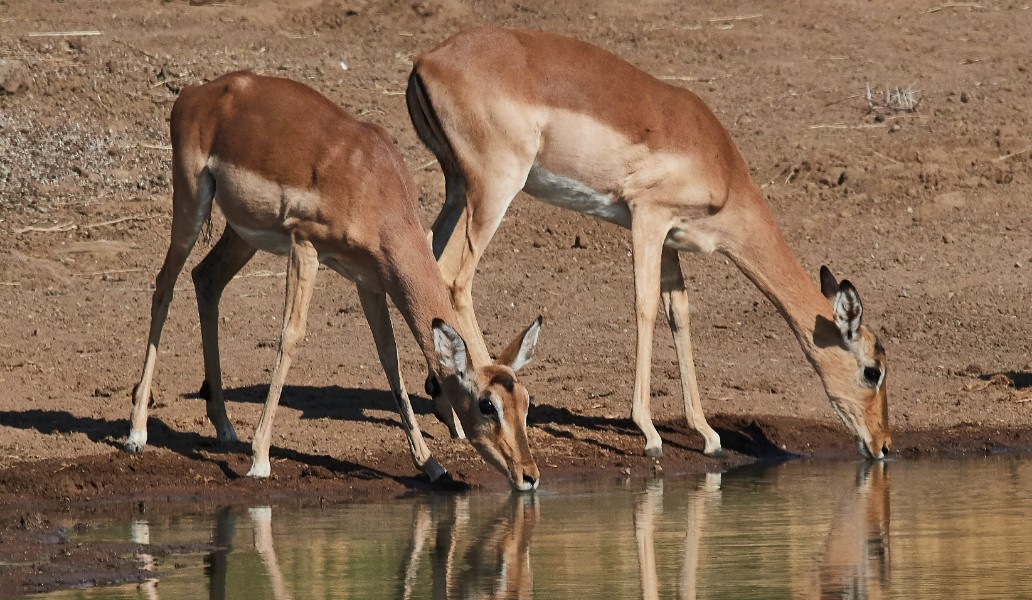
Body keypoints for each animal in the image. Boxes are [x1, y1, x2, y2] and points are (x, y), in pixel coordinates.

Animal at [125, 71, 544, 491]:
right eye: (487, 405)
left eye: (525, 401)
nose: (529, 475)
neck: (373, 182)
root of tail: (196, 93)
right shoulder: (305, 246)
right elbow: (291, 336)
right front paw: (260, 459)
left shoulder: (371, 280)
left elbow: (389, 358)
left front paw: (430, 464)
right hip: (191, 204)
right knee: (164, 285)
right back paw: (137, 433)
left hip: (242, 236)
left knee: (206, 279)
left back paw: (224, 426)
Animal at [406, 26, 891, 458]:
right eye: (873, 370)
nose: (883, 445)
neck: (721, 165)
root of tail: (426, 60)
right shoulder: (647, 218)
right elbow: (645, 306)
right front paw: (650, 433)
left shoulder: (671, 238)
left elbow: (680, 314)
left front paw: (707, 434)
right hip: (493, 191)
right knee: (454, 277)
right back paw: (482, 397)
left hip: (458, 189)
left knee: (424, 260)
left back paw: (448, 407)